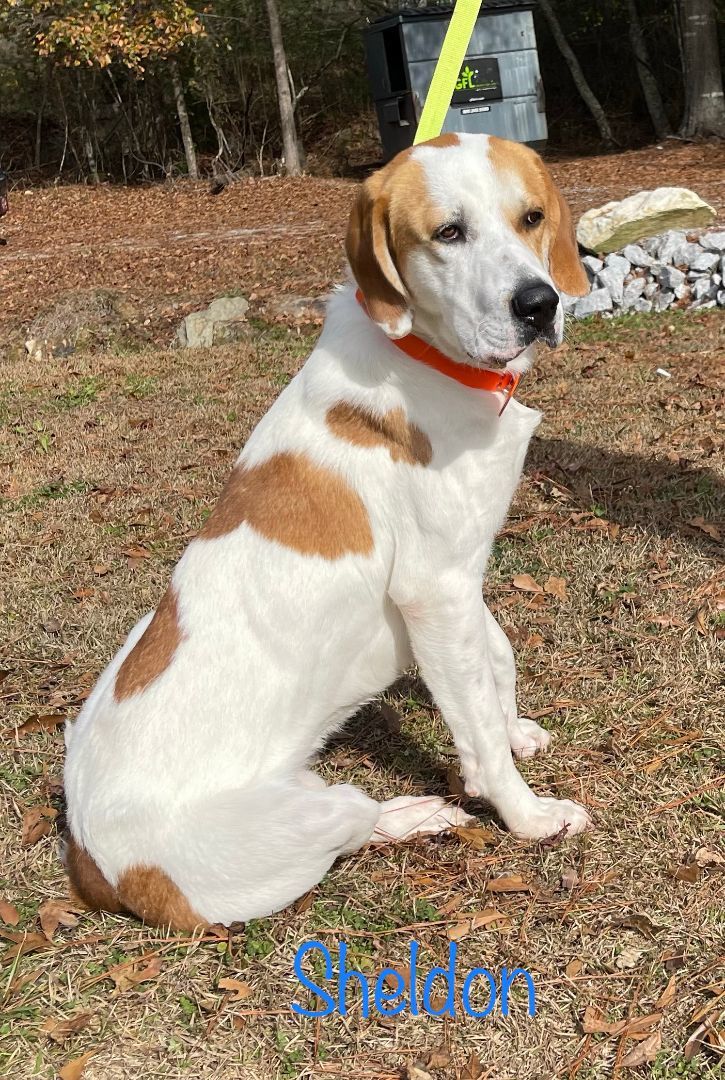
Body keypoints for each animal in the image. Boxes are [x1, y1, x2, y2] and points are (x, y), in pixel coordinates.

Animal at [65, 132, 592, 928]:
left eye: (531, 217)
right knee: (355, 825)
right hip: (308, 820)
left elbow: (494, 659)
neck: (421, 356)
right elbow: (475, 729)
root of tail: (91, 859)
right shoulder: (433, 588)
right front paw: (527, 815)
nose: (540, 303)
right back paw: (416, 813)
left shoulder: (459, 577)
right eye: (448, 232)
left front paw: (514, 728)